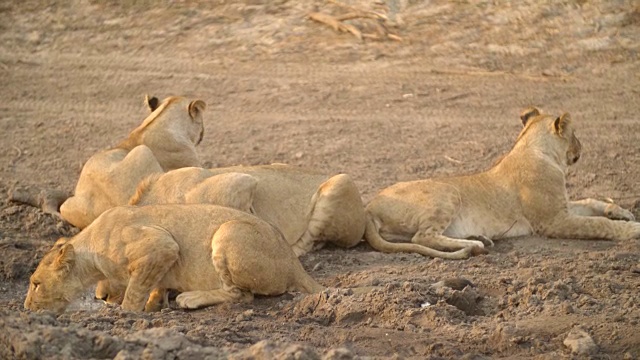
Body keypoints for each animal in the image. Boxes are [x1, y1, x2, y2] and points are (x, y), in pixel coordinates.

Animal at [25, 204, 324, 314]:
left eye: (36, 284)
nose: (26, 307)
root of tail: (294, 263)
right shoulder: (161, 260)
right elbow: (154, 284)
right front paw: (154, 304)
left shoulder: (161, 244)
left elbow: (134, 291)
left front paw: (126, 314)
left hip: (228, 233)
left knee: (242, 295)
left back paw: (190, 298)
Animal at [364, 107, 640, 258]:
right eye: (575, 134)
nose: (581, 148)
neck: (533, 148)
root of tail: (369, 208)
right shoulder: (553, 221)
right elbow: (599, 224)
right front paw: (632, 229)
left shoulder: (561, 207)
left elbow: (592, 202)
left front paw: (623, 212)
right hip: (447, 191)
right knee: (421, 237)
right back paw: (475, 244)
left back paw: (480, 238)